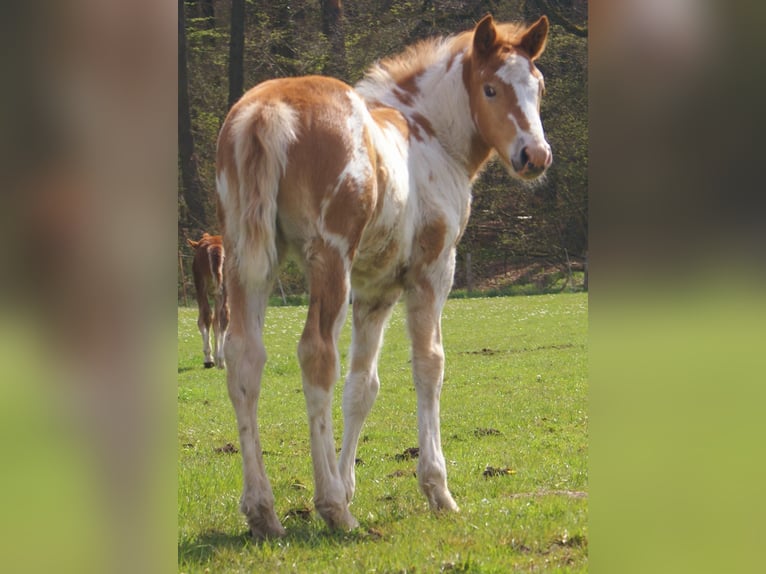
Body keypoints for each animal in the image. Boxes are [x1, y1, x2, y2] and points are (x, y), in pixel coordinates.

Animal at [186, 233, 228, 369]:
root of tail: (216, 247)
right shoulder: (217, 294)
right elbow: (216, 322)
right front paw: (217, 357)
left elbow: (202, 321)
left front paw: (209, 356)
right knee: (224, 316)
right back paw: (222, 359)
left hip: (201, 285)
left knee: (206, 315)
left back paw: (209, 359)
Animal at [216, 14, 552, 538]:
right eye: (491, 88)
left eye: (538, 86)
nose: (534, 156)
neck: (430, 134)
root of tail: (266, 111)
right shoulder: (433, 271)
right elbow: (429, 366)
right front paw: (437, 489)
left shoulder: (375, 291)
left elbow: (362, 386)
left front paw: (349, 478)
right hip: (329, 258)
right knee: (316, 355)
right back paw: (333, 506)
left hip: (246, 259)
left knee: (244, 358)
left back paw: (263, 511)